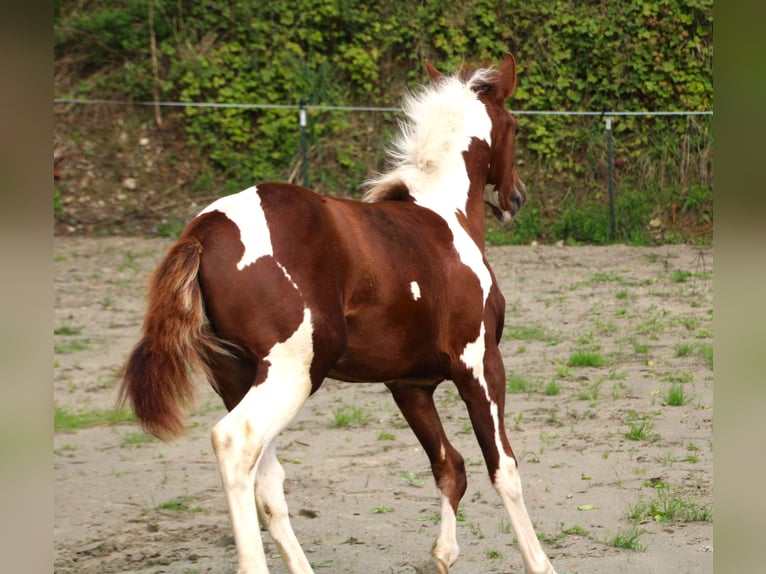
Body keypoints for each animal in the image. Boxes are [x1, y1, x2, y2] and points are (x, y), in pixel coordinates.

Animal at [120, 51, 560, 572]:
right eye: (515, 125)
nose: (517, 196)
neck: (444, 217)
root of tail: (203, 232)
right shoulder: (480, 363)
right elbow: (503, 468)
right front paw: (540, 562)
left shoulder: (409, 385)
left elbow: (449, 467)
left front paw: (443, 554)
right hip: (294, 373)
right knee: (235, 442)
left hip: (236, 378)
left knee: (267, 480)